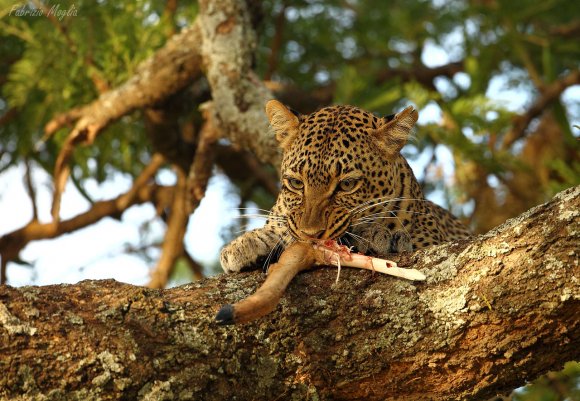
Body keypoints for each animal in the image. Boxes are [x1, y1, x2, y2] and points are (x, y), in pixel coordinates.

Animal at [220, 99, 468, 272]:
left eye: (347, 184)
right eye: (296, 183)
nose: (312, 235)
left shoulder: (434, 239)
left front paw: (381, 236)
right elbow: (281, 229)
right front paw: (245, 244)